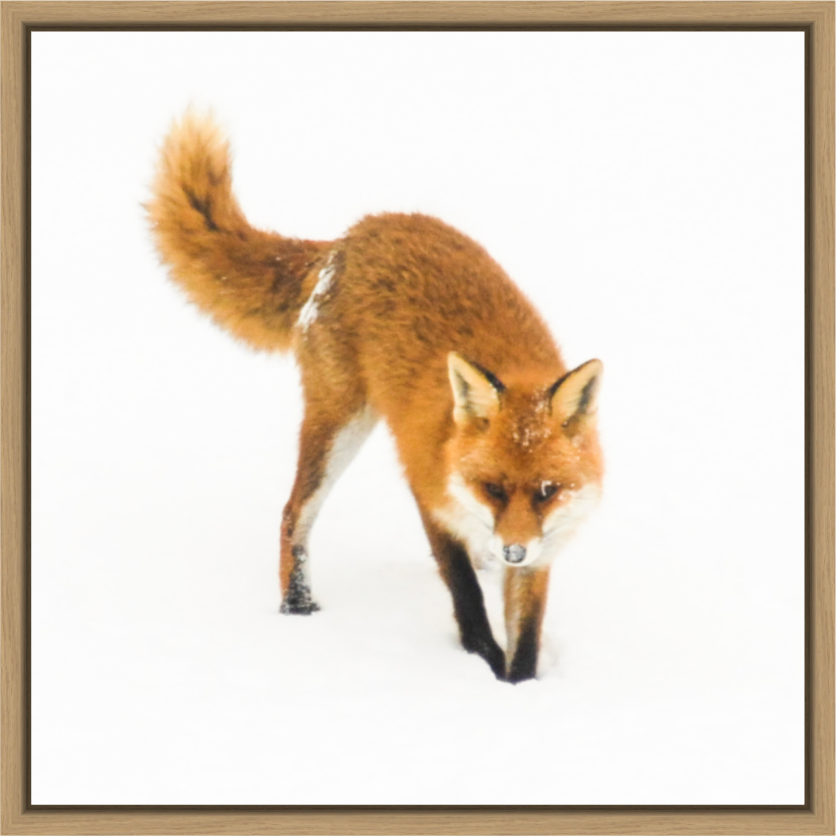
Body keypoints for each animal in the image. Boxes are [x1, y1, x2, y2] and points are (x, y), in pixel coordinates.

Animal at [147, 111, 603, 683]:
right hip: (337, 426)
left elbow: (528, 636)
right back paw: (297, 606)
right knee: (293, 513)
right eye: (493, 488)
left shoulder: (544, 548)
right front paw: (481, 664)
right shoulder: (427, 494)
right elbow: (467, 598)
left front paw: (517, 685)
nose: (514, 550)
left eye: (546, 490)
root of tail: (350, 237)